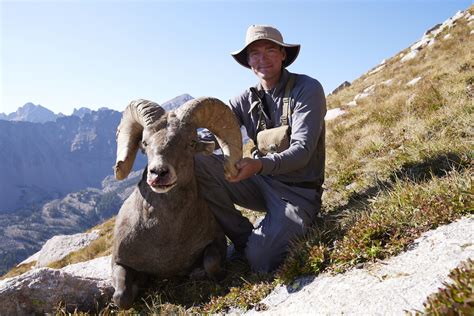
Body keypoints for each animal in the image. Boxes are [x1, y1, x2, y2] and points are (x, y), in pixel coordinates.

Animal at [110, 97, 241, 308]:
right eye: (145, 143)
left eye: (191, 142)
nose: (159, 173)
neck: (166, 237)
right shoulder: (118, 262)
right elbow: (121, 297)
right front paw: (140, 283)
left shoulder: (217, 242)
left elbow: (211, 265)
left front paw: (198, 272)